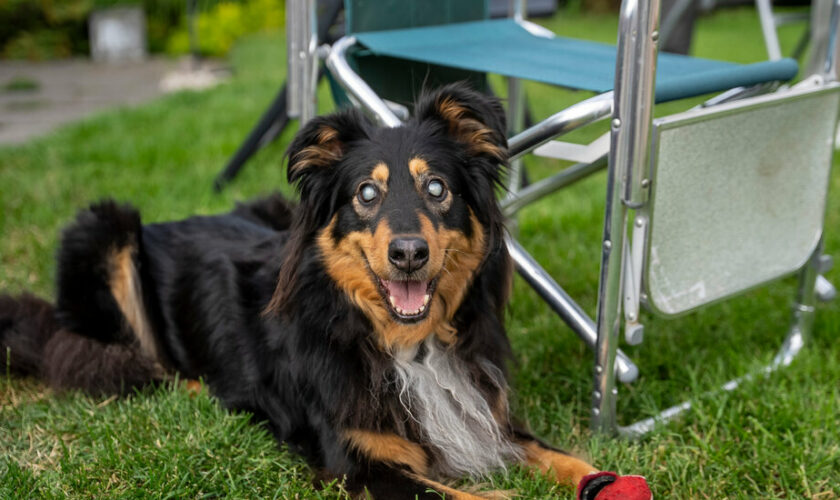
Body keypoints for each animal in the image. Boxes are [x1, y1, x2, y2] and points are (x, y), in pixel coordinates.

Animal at [0, 84, 648, 498]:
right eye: (366, 193)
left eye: (437, 187)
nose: (408, 254)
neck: (404, 345)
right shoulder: (356, 461)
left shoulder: (483, 414)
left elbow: (563, 456)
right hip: (104, 231)